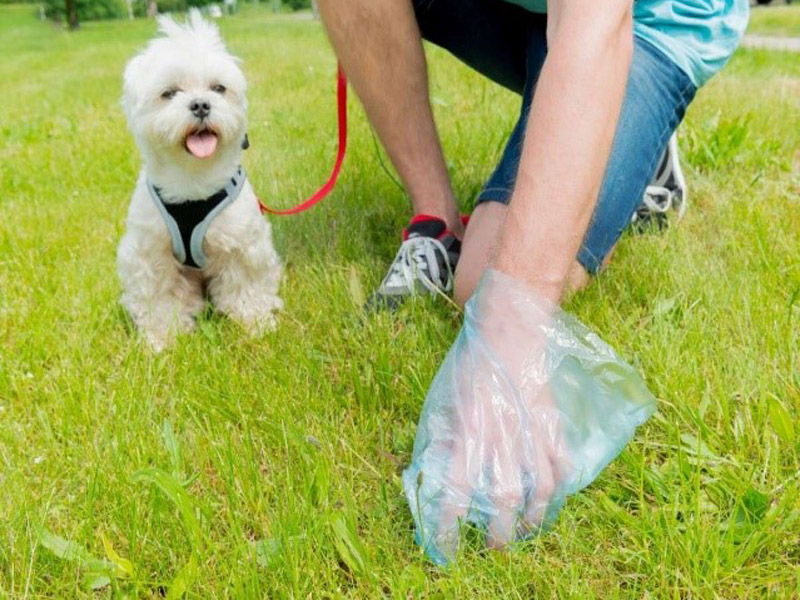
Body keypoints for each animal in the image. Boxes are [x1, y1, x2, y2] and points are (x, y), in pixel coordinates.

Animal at [117, 10, 282, 352]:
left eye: (218, 88)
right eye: (169, 93)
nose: (201, 104)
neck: (192, 179)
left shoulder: (243, 243)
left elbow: (247, 286)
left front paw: (256, 324)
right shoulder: (148, 253)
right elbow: (158, 297)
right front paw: (161, 338)